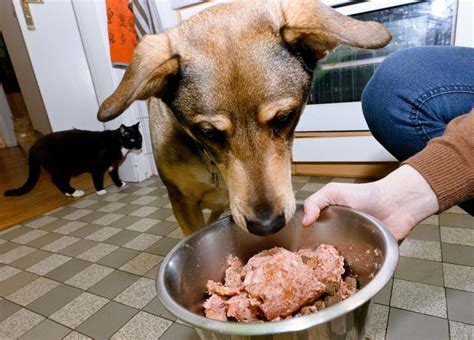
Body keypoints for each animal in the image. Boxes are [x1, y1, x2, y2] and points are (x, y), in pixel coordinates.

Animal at [4, 123, 143, 197]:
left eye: (140, 138)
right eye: (132, 139)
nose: (140, 146)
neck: (117, 142)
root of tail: (34, 146)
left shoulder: (113, 166)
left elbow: (114, 176)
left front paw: (120, 184)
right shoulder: (97, 168)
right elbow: (98, 179)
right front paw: (100, 190)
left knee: (57, 180)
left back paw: (68, 193)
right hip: (62, 167)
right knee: (56, 179)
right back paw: (75, 192)